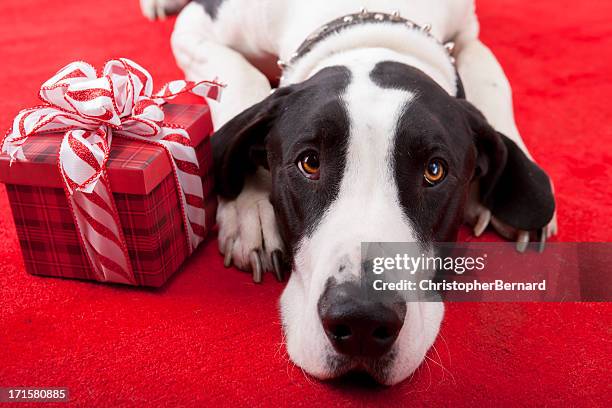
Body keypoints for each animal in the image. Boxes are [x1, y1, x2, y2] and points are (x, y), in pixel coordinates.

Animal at [142, 0, 556, 386]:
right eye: (310, 163)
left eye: (434, 171)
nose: (361, 322)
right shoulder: (198, 28)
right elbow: (242, 78)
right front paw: (251, 210)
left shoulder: (466, 32)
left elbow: (491, 75)